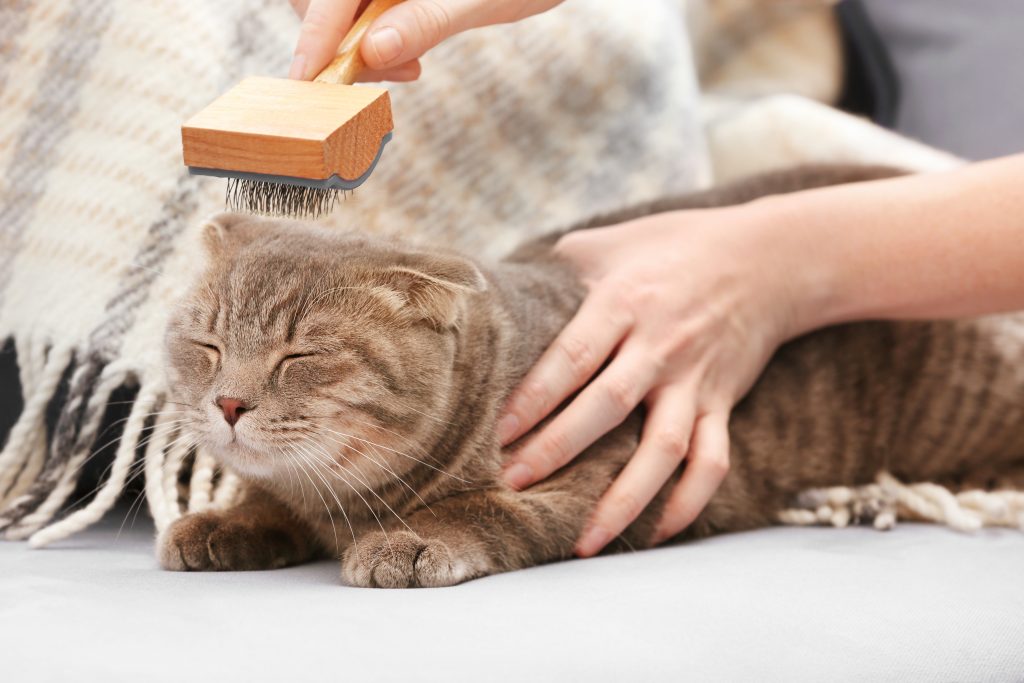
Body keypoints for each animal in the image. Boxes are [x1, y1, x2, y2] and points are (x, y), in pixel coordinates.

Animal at [155, 166, 1024, 589]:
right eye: (206, 345)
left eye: (300, 356)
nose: (228, 400)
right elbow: (268, 496)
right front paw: (224, 520)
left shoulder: (609, 477)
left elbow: (486, 506)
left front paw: (412, 534)